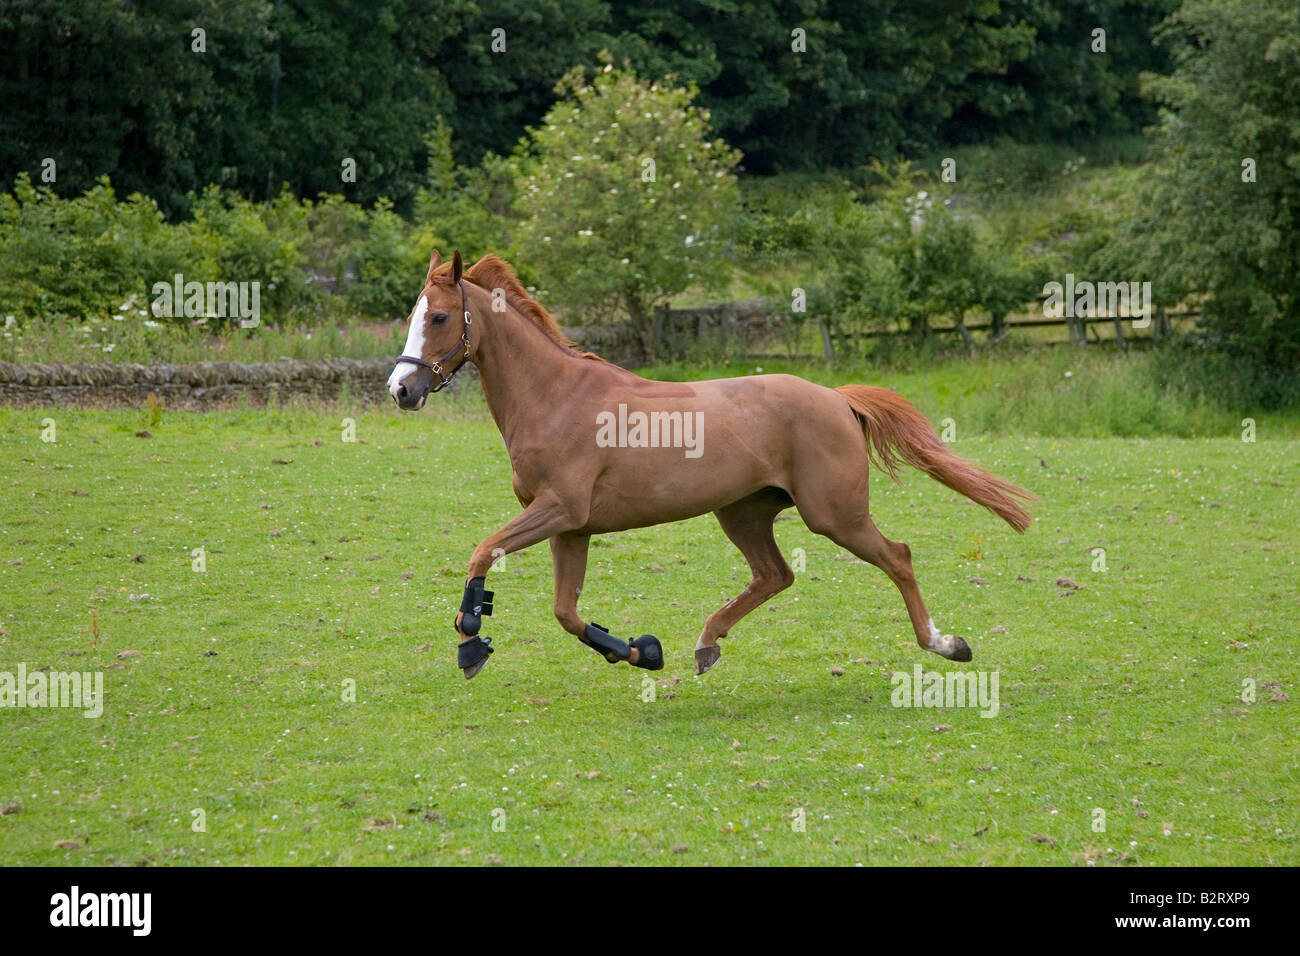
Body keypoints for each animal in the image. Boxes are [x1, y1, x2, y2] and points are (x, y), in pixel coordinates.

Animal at [387, 248, 1034, 681]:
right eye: (413, 316)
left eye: (438, 317)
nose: (400, 389)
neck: (555, 396)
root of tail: (836, 398)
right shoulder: (571, 527)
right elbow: (565, 612)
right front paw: (640, 651)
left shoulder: (559, 510)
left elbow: (483, 552)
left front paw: (471, 639)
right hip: (743, 513)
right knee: (775, 575)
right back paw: (705, 643)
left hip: (835, 515)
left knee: (896, 558)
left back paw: (944, 644)